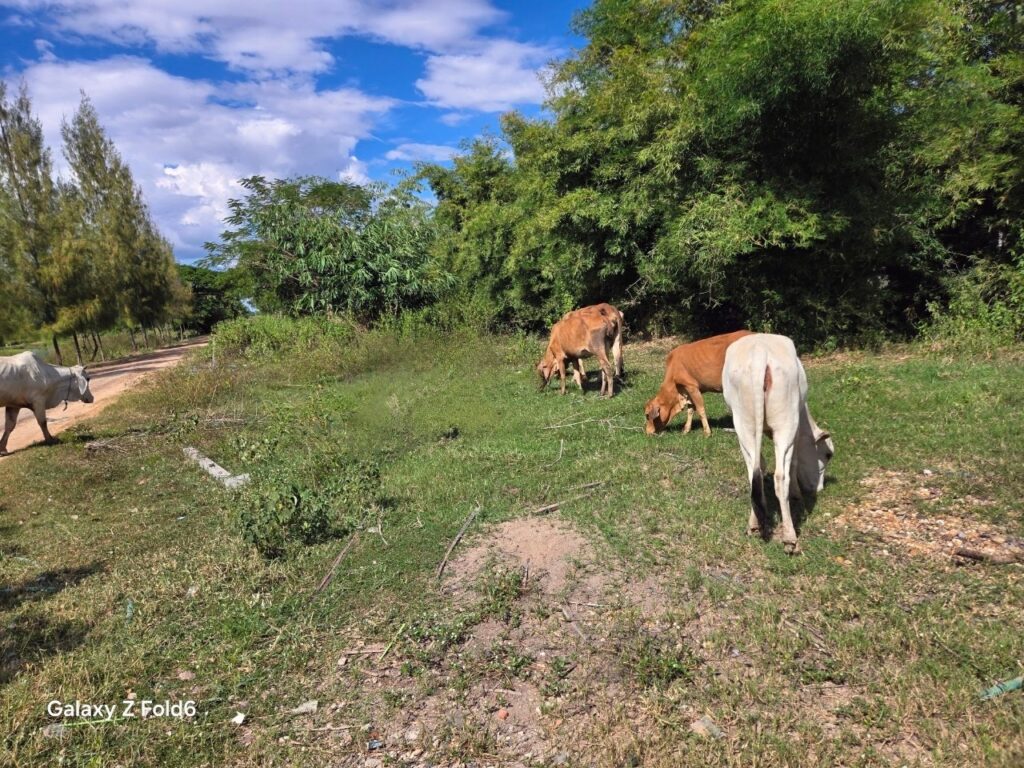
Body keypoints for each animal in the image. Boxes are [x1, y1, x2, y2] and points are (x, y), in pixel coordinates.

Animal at [720, 333, 831, 557]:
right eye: (827, 454)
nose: (820, 488)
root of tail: (760, 351)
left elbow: (760, 466)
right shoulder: (796, 431)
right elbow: (794, 463)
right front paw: (797, 494)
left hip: (743, 423)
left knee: (752, 475)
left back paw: (754, 524)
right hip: (785, 422)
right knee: (781, 477)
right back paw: (790, 538)